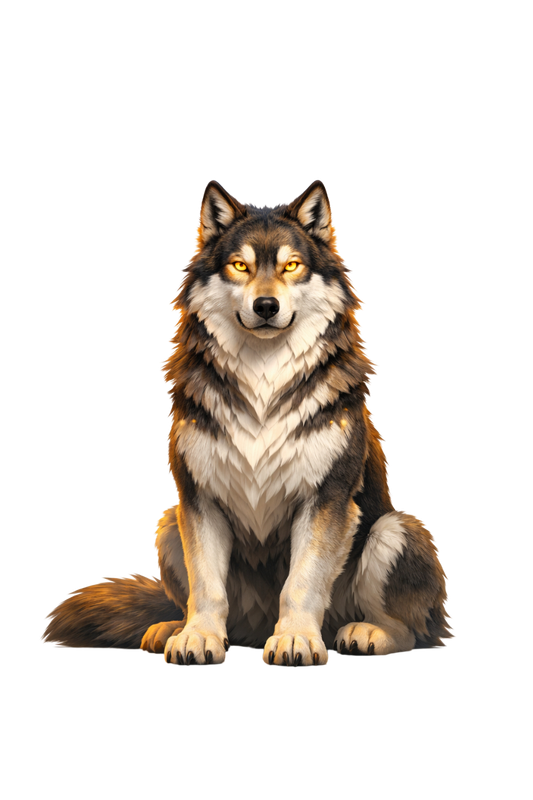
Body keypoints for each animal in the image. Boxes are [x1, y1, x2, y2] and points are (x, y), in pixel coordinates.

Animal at [42, 179, 453, 665]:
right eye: (240, 266)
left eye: (292, 266)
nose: (266, 305)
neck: (263, 378)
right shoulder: (199, 500)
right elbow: (207, 587)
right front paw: (198, 637)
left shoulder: (325, 500)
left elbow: (302, 582)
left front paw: (295, 639)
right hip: (169, 523)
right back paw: (171, 629)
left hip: (397, 528)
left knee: (414, 629)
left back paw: (363, 634)